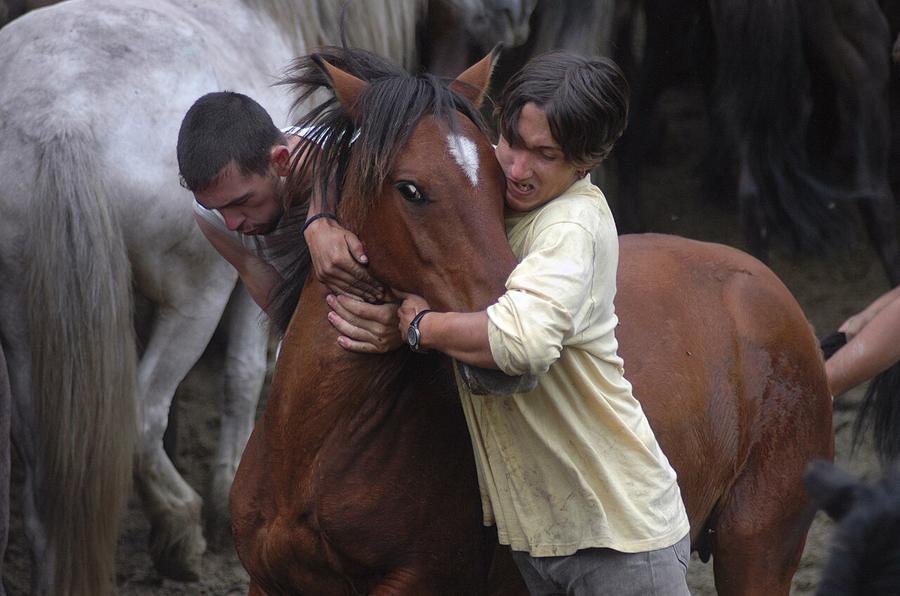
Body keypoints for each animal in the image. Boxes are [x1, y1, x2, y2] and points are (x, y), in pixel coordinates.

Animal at [0, 0, 537, 591]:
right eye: (410, 189)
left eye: (502, 180)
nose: (514, 14)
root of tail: (60, 122)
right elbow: (243, 373)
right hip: (195, 296)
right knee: (142, 418)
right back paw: (181, 527)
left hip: (25, 317)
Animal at [230, 45, 834, 594]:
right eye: (410, 189)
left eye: (500, 188)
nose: (502, 342)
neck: (311, 453)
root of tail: (767, 287)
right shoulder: (266, 582)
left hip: (756, 552)